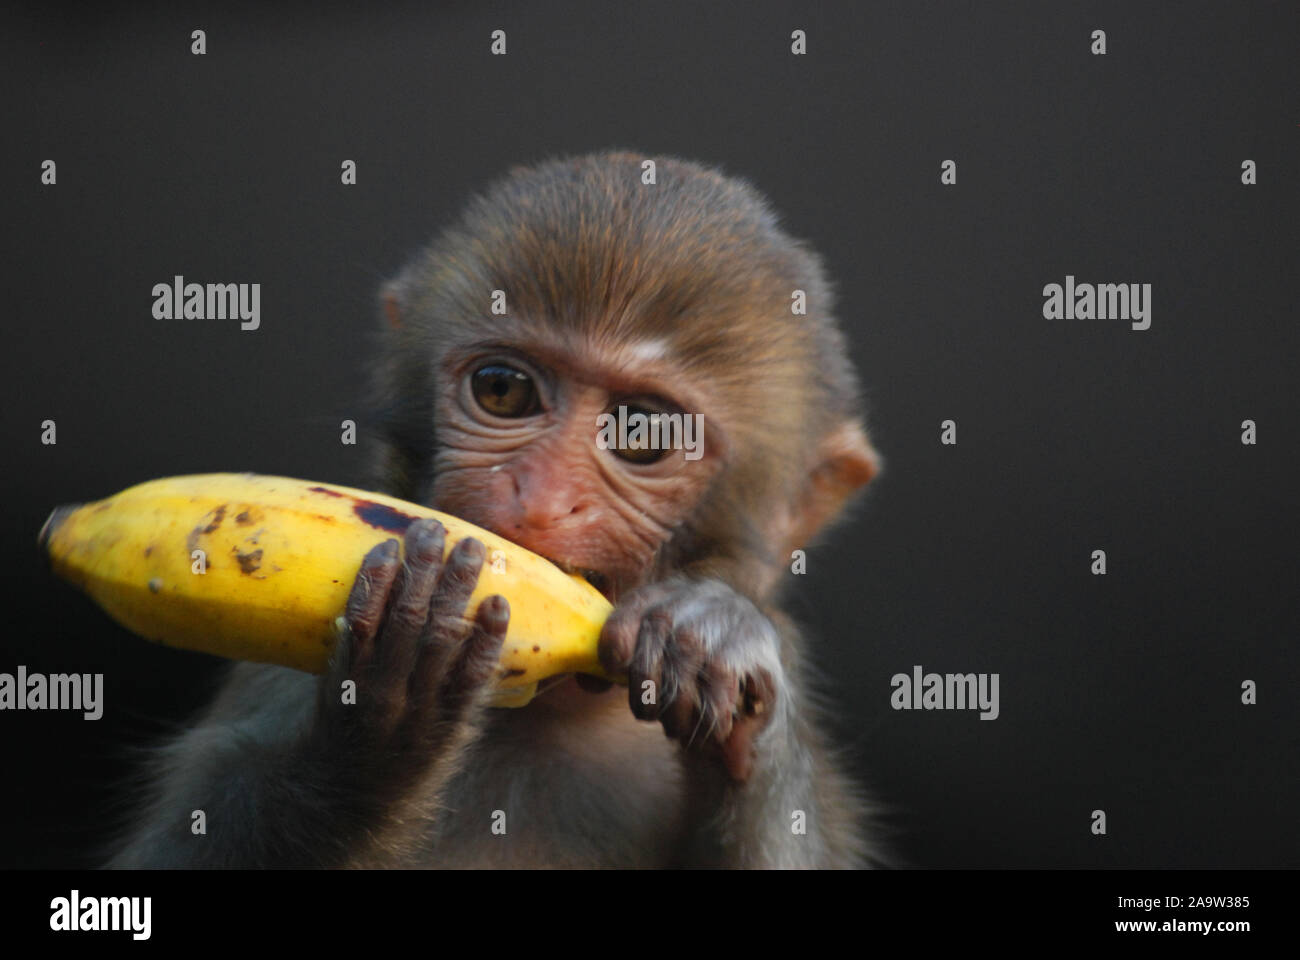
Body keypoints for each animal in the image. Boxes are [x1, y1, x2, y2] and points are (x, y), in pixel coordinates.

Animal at [105, 150, 882, 869]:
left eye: (642, 433)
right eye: (503, 390)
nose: (538, 495)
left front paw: (721, 640)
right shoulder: (276, 669)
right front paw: (381, 722)